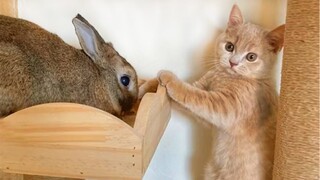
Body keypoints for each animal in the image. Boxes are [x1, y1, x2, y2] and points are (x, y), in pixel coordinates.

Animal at [158, 4, 284, 180]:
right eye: (229, 47)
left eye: (251, 57)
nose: (233, 62)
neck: (225, 77)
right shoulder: (206, 108)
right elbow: (190, 96)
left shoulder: (226, 107)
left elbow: (195, 95)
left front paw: (170, 79)